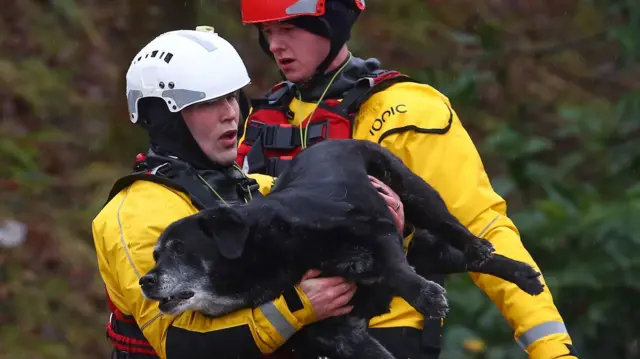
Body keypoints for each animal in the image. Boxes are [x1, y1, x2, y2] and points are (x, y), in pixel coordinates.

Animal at [139, 139, 540, 359]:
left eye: (179, 248)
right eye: (155, 254)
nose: (144, 281)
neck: (272, 256)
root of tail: (337, 141)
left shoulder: (376, 231)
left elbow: (396, 272)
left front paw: (425, 297)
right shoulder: (343, 336)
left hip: (416, 194)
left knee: (454, 230)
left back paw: (487, 252)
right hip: (425, 252)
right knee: (467, 261)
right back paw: (520, 273)